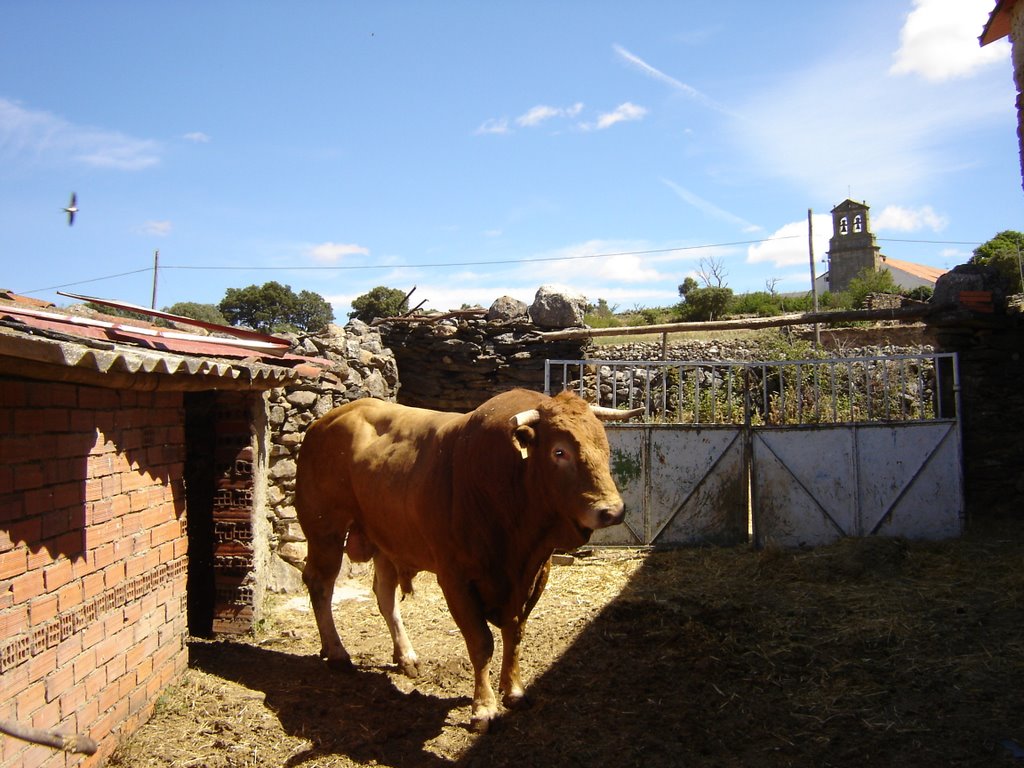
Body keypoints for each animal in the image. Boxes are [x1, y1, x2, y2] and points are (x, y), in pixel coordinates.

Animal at [292, 387, 634, 729]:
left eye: (604, 445)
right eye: (559, 451)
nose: (612, 510)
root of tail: (324, 422)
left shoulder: (536, 574)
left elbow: (514, 634)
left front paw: (514, 691)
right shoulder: (455, 579)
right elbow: (481, 642)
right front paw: (483, 707)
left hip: (385, 538)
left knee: (384, 596)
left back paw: (406, 656)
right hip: (325, 531)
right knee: (320, 584)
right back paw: (337, 653)